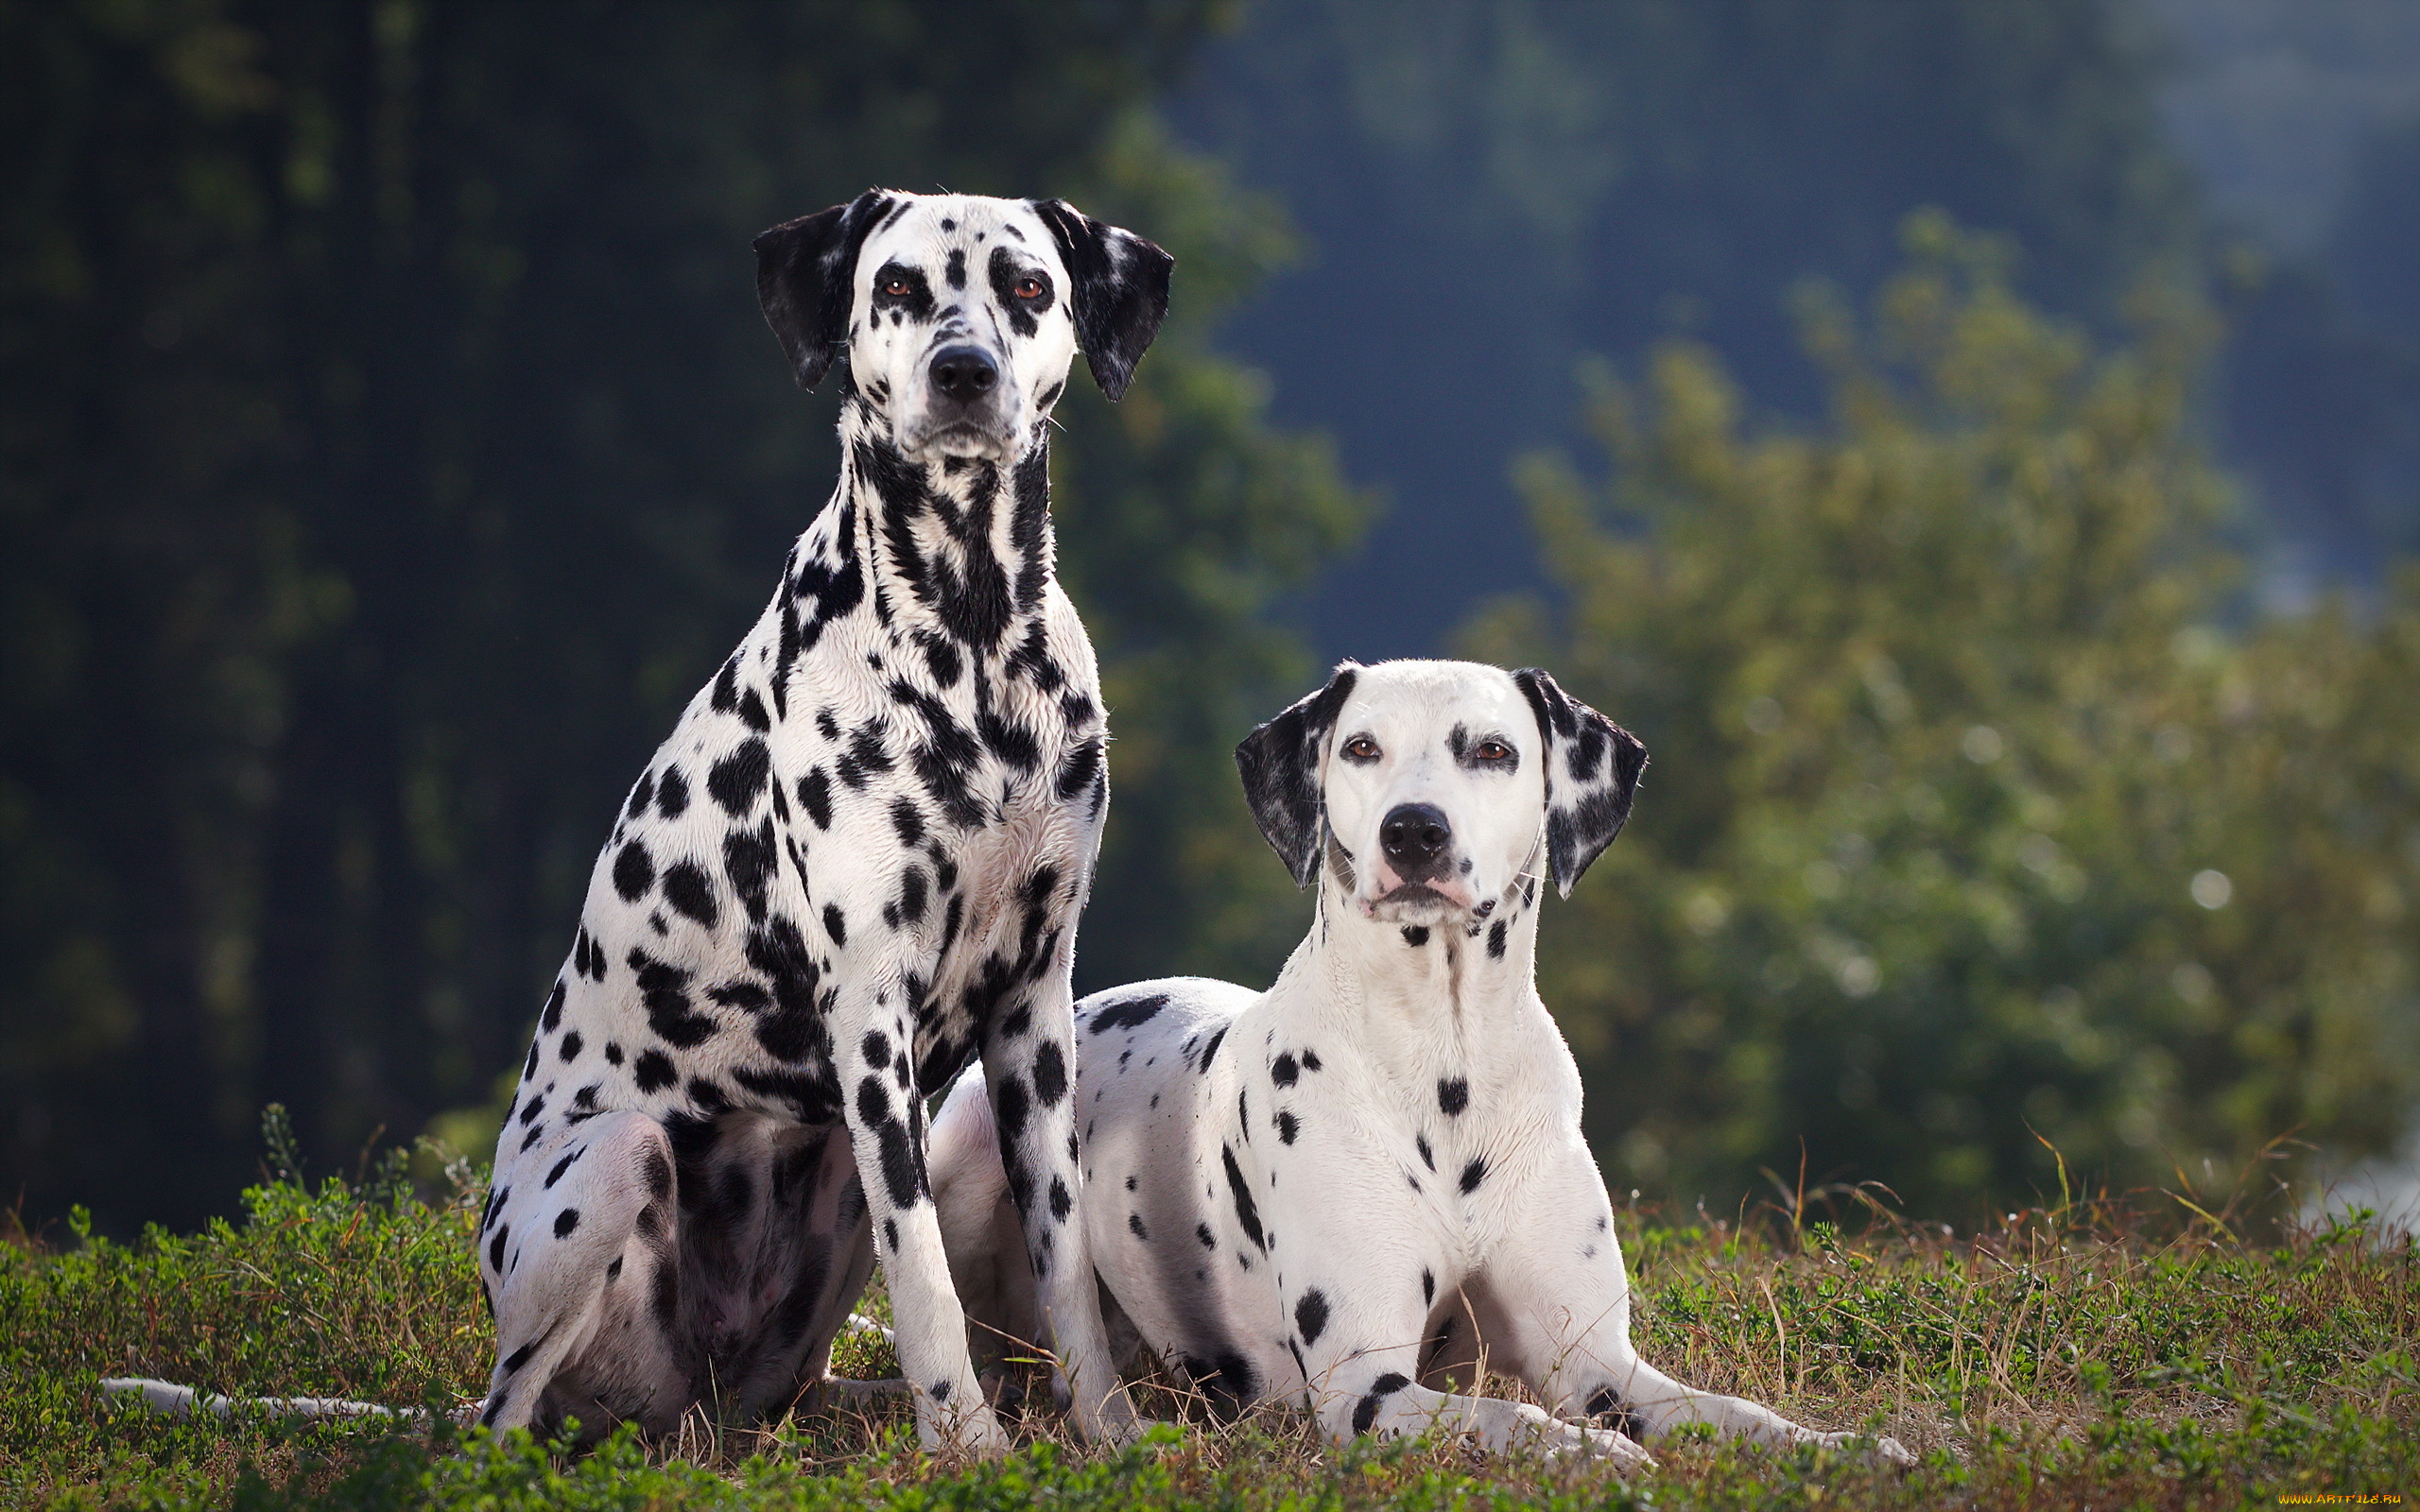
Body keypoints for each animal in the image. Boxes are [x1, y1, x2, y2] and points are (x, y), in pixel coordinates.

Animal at [472, 188, 1171, 1452]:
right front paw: (969, 1445)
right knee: (502, 1412)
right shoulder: (871, 1018)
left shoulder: (1035, 1006)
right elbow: (925, 1272)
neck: (972, 639)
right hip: (614, 1162)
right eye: (895, 286)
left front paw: (1107, 1433)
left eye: (1028, 286)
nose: (961, 369)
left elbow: (1065, 1259)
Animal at [924, 658, 1907, 1461]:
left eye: (1493, 750)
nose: (1414, 831)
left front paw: (1843, 1446)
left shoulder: (1599, 1362)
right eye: (1361, 747)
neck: (1445, 1061)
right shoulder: (1365, 1386)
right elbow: (1514, 1417)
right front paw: (1596, 1455)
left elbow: (1732, 1414)